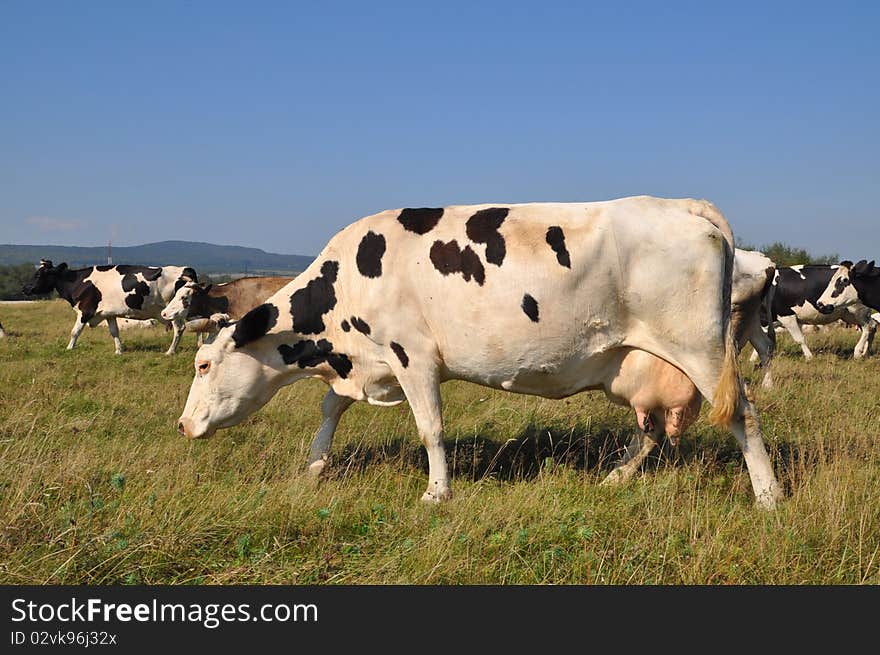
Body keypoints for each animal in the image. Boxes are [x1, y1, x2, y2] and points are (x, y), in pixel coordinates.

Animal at [22, 258, 198, 356]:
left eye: (39, 274)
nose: (24, 288)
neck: (78, 281)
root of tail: (185, 268)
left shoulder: (85, 311)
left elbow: (75, 331)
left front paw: (69, 348)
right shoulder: (109, 313)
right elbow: (114, 332)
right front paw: (119, 350)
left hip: (173, 311)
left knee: (179, 328)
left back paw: (170, 351)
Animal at [175, 197, 780, 510]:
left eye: (204, 365)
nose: (182, 425)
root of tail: (680, 206)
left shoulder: (411, 355)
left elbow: (430, 429)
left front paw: (436, 493)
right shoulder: (364, 361)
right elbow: (330, 409)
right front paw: (314, 468)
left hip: (702, 349)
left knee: (744, 415)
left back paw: (769, 497)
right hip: (640, 361)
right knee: (652, 428)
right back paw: (616, 478)